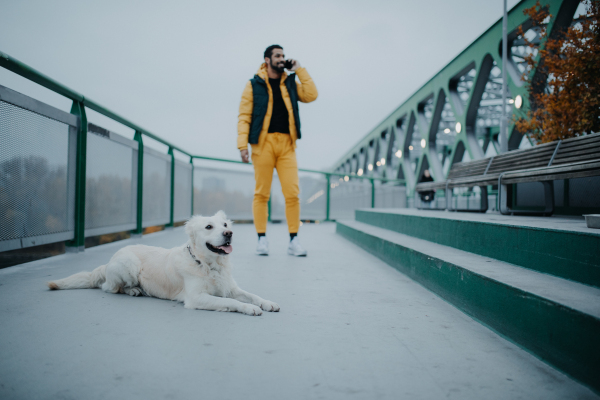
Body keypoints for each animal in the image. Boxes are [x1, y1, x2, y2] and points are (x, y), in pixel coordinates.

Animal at [48, 211, 280, 318]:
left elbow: (252, 295)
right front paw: (249, 308)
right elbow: (231, 302)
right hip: (128, 263)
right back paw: (133, 290)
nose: (229, 233)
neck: (208, 264)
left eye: (224, 224)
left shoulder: (230, 287)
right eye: (208, 227)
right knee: (111, 288)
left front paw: (267, 303)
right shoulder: (196, 298)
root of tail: (108, 262)